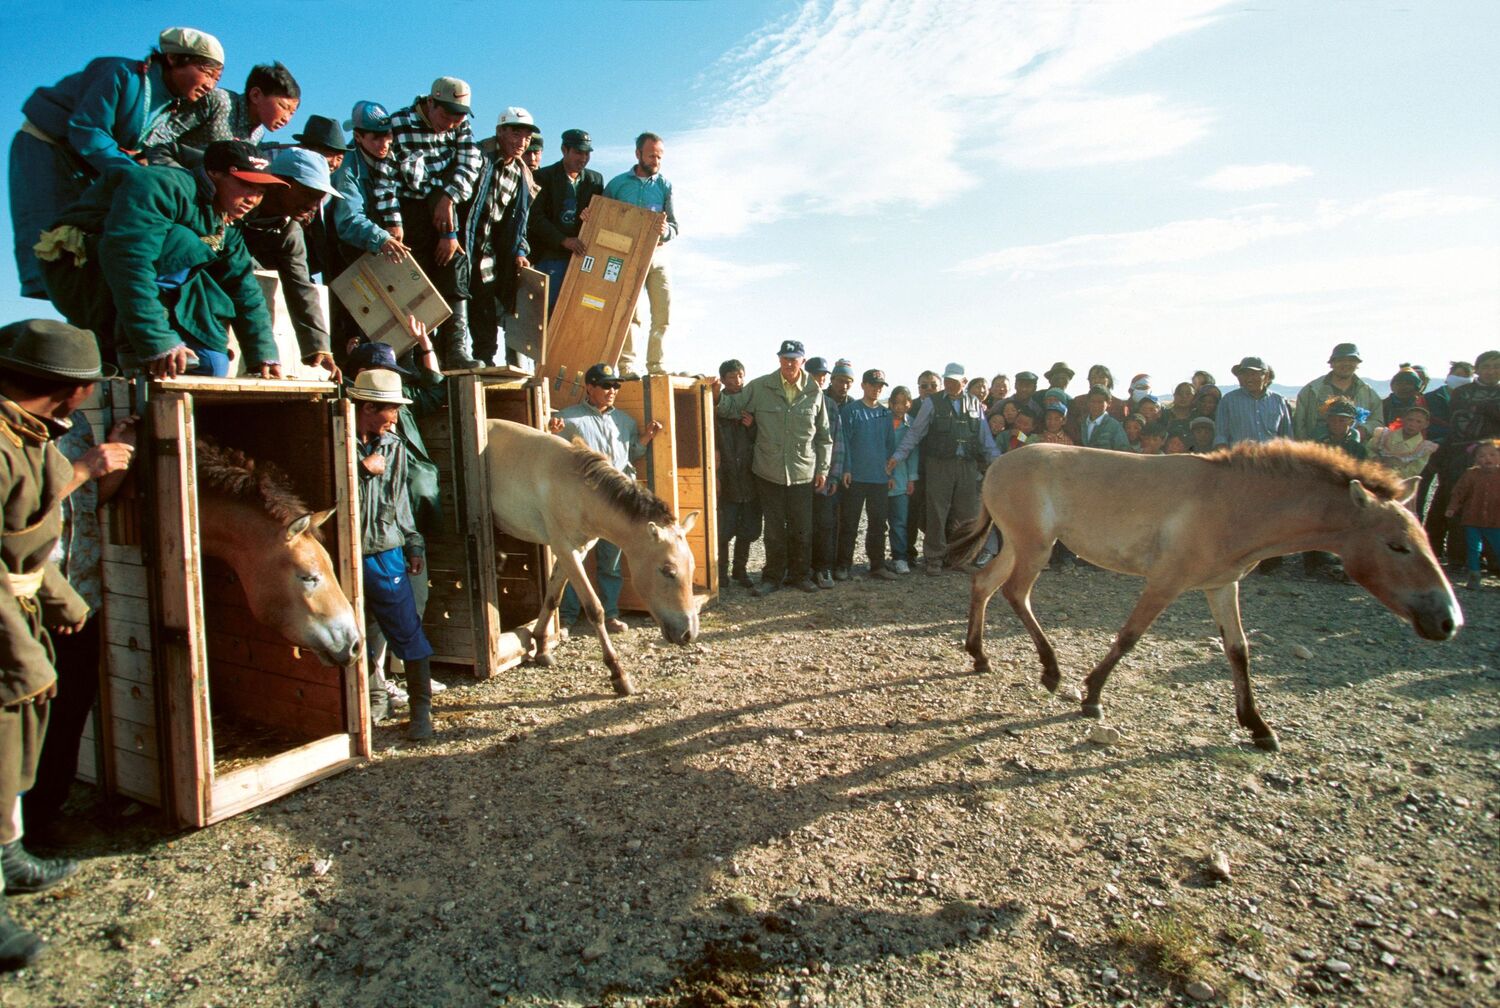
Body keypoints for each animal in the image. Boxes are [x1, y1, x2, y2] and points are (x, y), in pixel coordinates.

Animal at [483, 417, 699, 693]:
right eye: (668, 571)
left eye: (692, 568)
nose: (689, 633)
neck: (578, 490)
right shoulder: (565, 549)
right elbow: (594, 608)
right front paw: (618, 674)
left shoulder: (577, 551)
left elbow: (553, 598)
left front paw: (541, 646)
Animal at [954, 438, 1458, 747]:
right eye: (1397, 545)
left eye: (1424, 539)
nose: (1448, 620)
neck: (1232, 502)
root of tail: (997, 465)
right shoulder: (1167, 580)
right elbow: (1129, 636)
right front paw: (1091, 696)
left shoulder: (1222, 585)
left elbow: (1238, 650)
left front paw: (1258, 726)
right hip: (1034, 547)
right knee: (1016, 594)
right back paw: (1051, 672)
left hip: (1018, 544)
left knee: (984, 583)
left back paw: (980, 655)